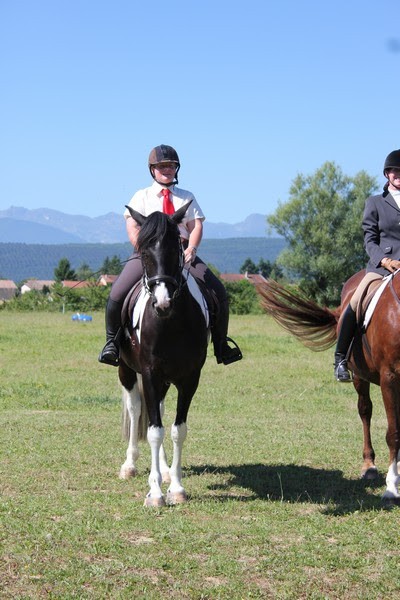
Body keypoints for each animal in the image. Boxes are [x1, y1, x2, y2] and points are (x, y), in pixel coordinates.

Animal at [118, 202, 209, 507]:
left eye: (175, 249)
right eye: (144, 252)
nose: (162, 303)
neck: (171, 323)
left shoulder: (189, 378)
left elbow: (177, 429)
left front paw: (176, 487)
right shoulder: (148, 374)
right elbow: (154, 431)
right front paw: (155, 492)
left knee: (158, 410)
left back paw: (166, 470)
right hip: (126, 370)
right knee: (136, 410)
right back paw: (130, 465)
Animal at [257, 271, 400, 507]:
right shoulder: (389, 378)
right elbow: (393, 433)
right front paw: (391, 489)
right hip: (359, 375)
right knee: (365, 411)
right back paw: (368, 466)